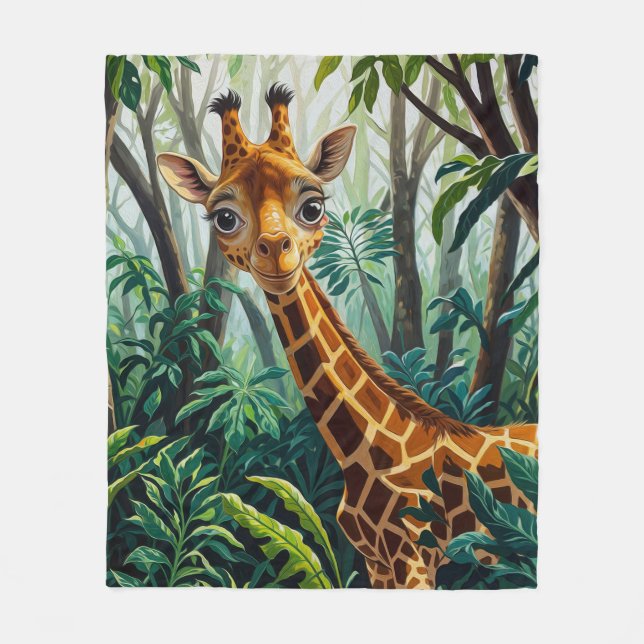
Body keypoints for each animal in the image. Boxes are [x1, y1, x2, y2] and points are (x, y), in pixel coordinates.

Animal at [157, 84, 538, 589]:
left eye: (313, 207)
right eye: (223, 216)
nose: (275, 253)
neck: (364, 455)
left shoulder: (416, 557)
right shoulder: (377, 561)